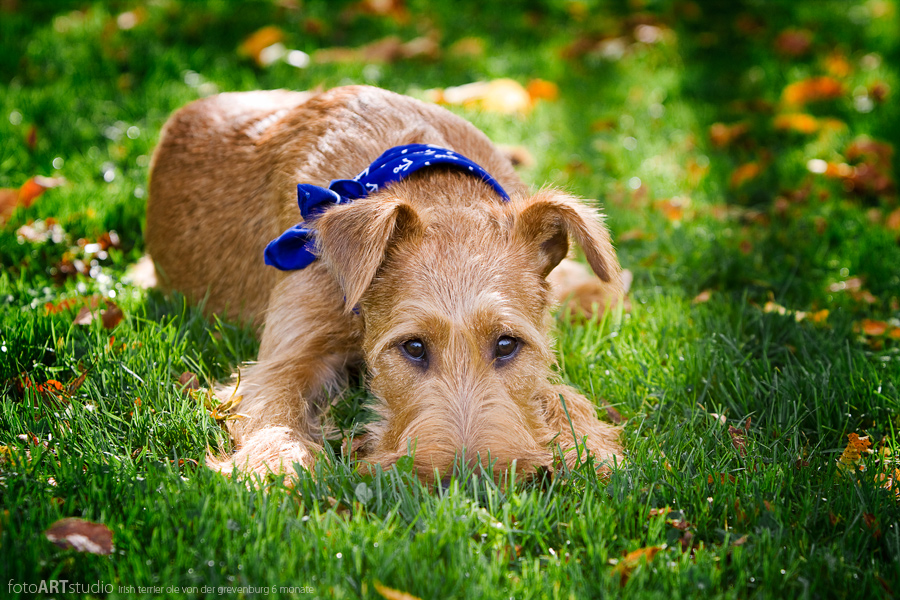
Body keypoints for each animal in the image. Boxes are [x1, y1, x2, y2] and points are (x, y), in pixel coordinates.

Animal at [148, 84, 624, 482]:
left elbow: (561, 393)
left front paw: (593, 449)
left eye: (506, 344)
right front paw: (274, 466)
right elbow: (275, 409)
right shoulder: (284, 360)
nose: (468, 480)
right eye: (413, 347)